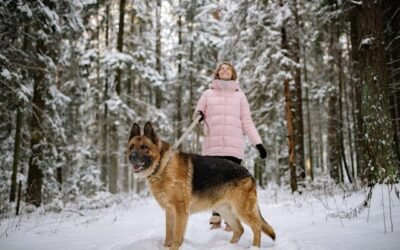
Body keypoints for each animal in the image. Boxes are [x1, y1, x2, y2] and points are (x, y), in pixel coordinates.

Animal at [128, 122, 276, 249]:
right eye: (131, 147)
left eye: (144, 147)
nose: (131, 157)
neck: (163, 166)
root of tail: (248, 172)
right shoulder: (169, 211)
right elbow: (168, 235)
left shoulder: (180, 212)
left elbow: (176, 237)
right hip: (224, 209)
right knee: (240, 229)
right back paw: (229, 246)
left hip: (242, 209)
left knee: (256, 226)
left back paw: (254, 247)